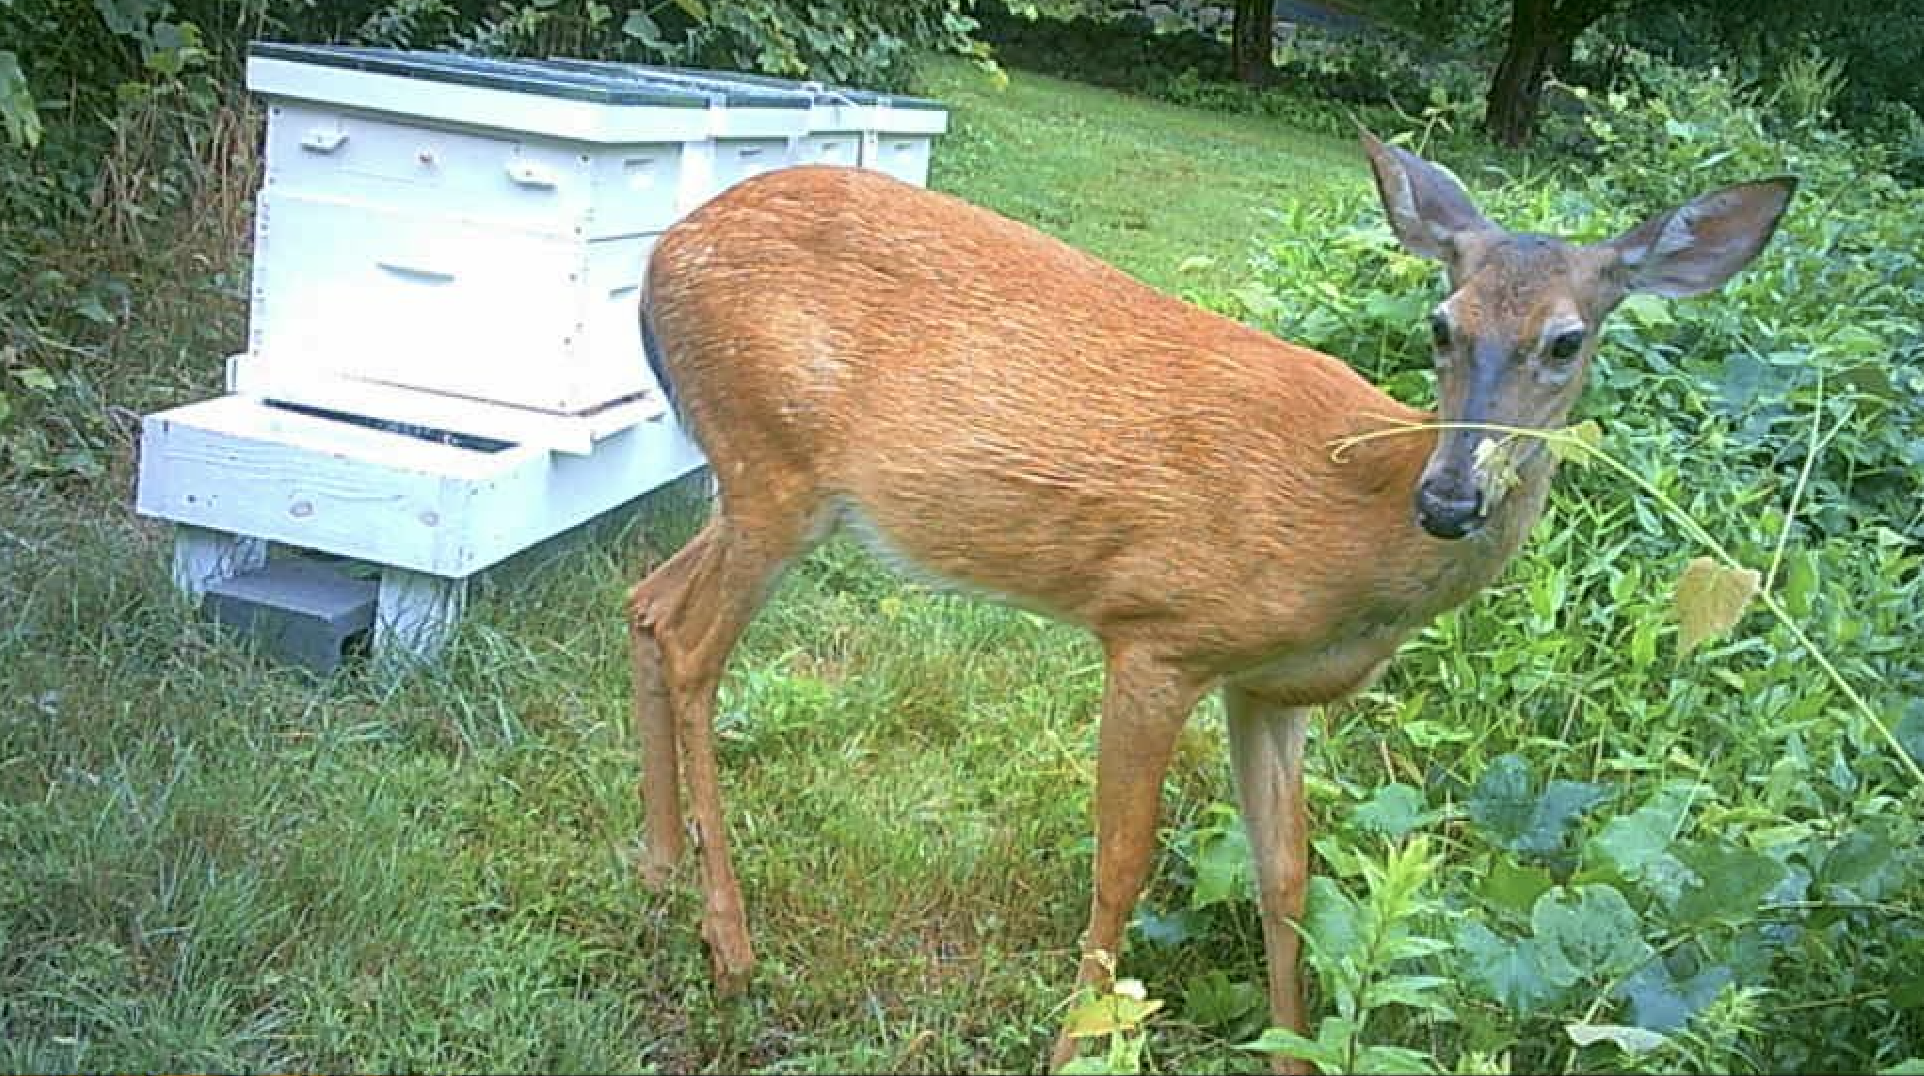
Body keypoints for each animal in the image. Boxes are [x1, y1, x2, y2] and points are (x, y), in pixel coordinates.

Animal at [622, 130, 1794, 1073]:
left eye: (1566, 340)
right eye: (1440, 323)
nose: (1452, 497)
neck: (1354, 519)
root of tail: (657, 256)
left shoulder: (1268, 690)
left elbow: (1288, 878)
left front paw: (1292, 1052)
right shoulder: (1157, 632)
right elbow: (1122, 863)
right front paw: (1075, 1045)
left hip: (760, 481)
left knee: (647, 600)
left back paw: (660, 868)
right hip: (773, 464)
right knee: (693, 644)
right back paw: (730, 944)